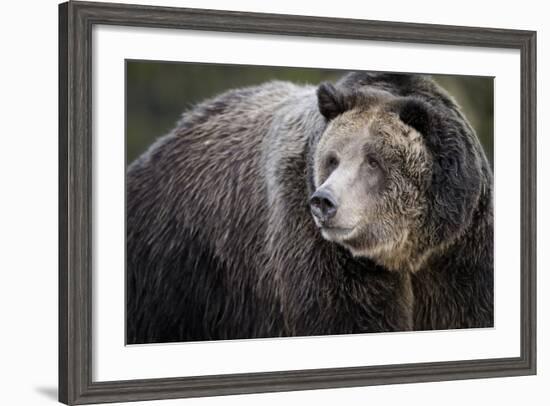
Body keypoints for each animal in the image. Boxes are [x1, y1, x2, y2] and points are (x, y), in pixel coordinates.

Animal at [126, 70, 496, 342]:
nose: (324, 202)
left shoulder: (459, 251)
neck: (404, 250)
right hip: (178, 269)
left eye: (373, 160)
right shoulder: (321, 252)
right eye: (332, 158)